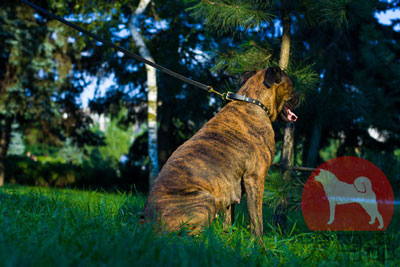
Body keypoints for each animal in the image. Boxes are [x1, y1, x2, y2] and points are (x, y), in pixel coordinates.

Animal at [142, 67, 298, 237]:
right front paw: (258, 243)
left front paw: (226, 238)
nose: (299, 97)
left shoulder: (230, 186)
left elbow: (229, 218)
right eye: (292, 85)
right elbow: (257, 219)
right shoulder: (255, 178)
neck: (254, 102)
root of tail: (146, 223)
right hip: (205, 200)